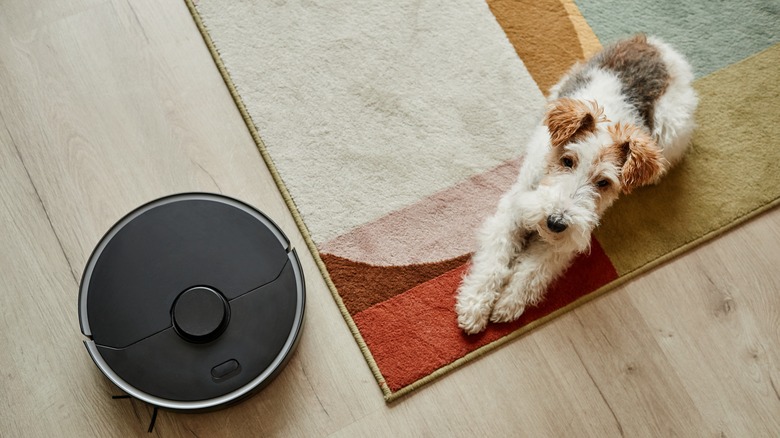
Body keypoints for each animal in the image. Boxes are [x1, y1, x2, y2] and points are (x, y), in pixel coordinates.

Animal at [454, 34, 696, 334]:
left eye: (604, 182)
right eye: (567, 160)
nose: (555, 222)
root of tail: (656, 45)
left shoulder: (566, 238)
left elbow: (532, 269)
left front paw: (508, 303)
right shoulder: (513, 210)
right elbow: (494, 261)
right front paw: (474, 307)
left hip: (671, 130)